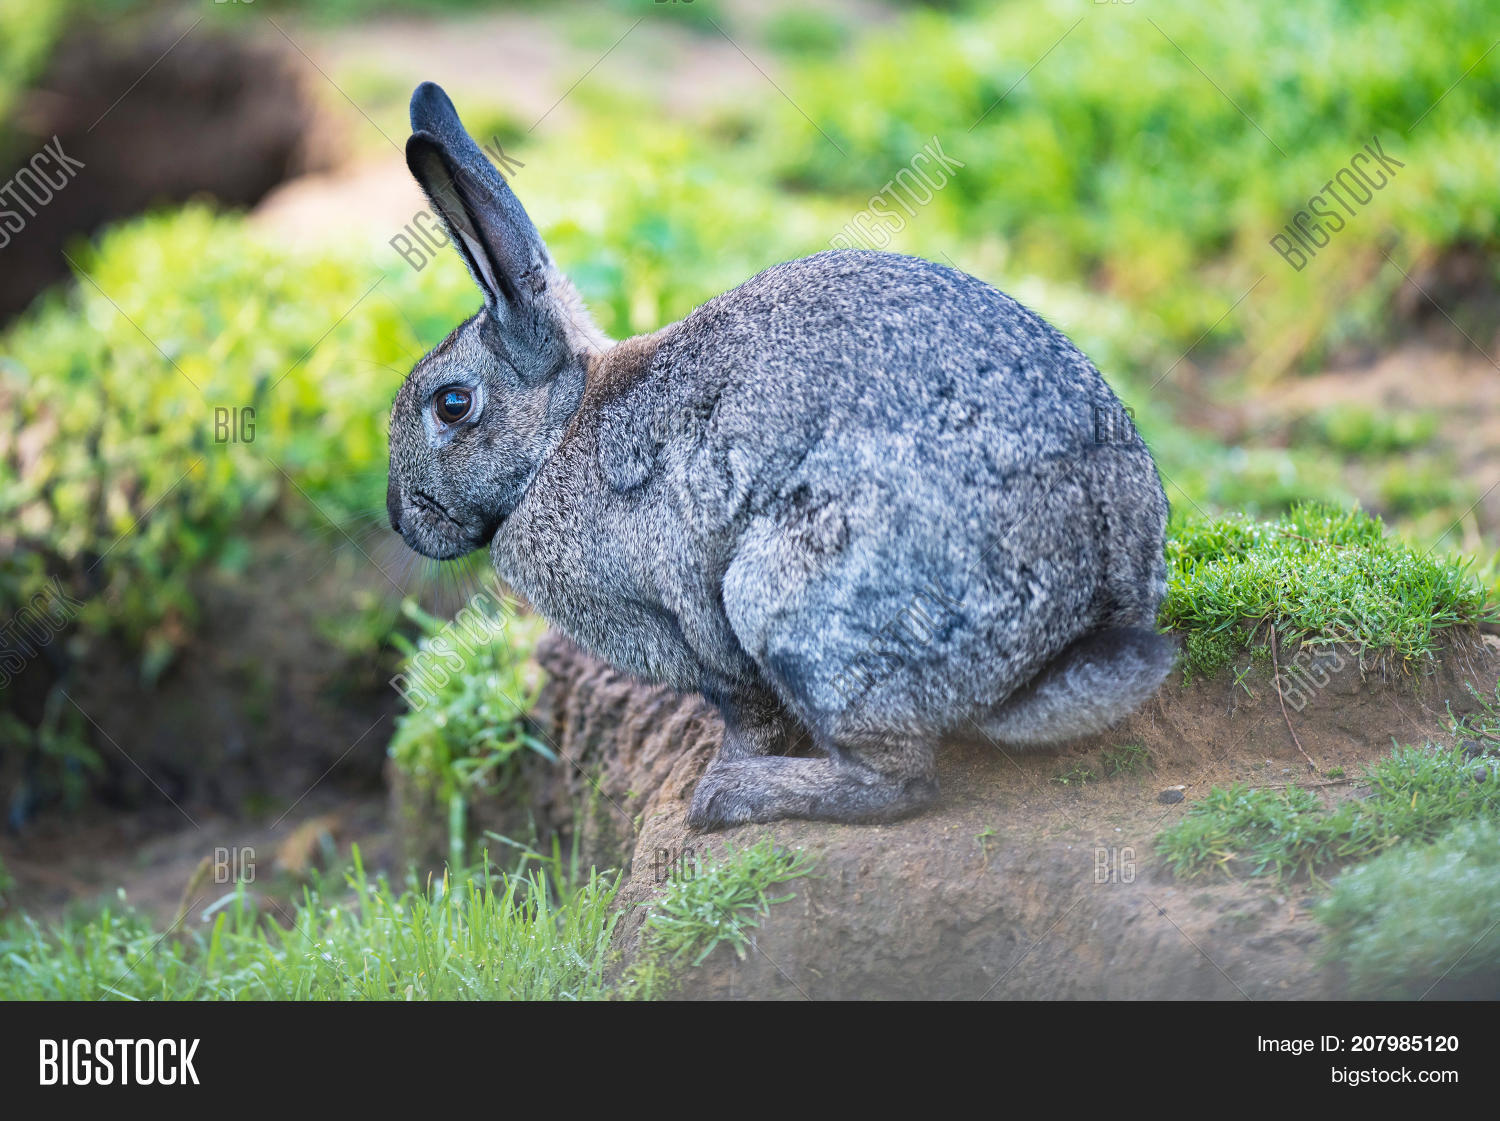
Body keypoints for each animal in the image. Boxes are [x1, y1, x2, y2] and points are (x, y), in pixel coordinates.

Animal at [387, 82, 1175, 831]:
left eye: (451, 404)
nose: (399, 521)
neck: (560, 428)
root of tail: (1089, 609)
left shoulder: (687, 628)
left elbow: (746, 711)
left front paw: (722, 769)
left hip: (786, 597)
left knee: (901, 782)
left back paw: (733, 796)